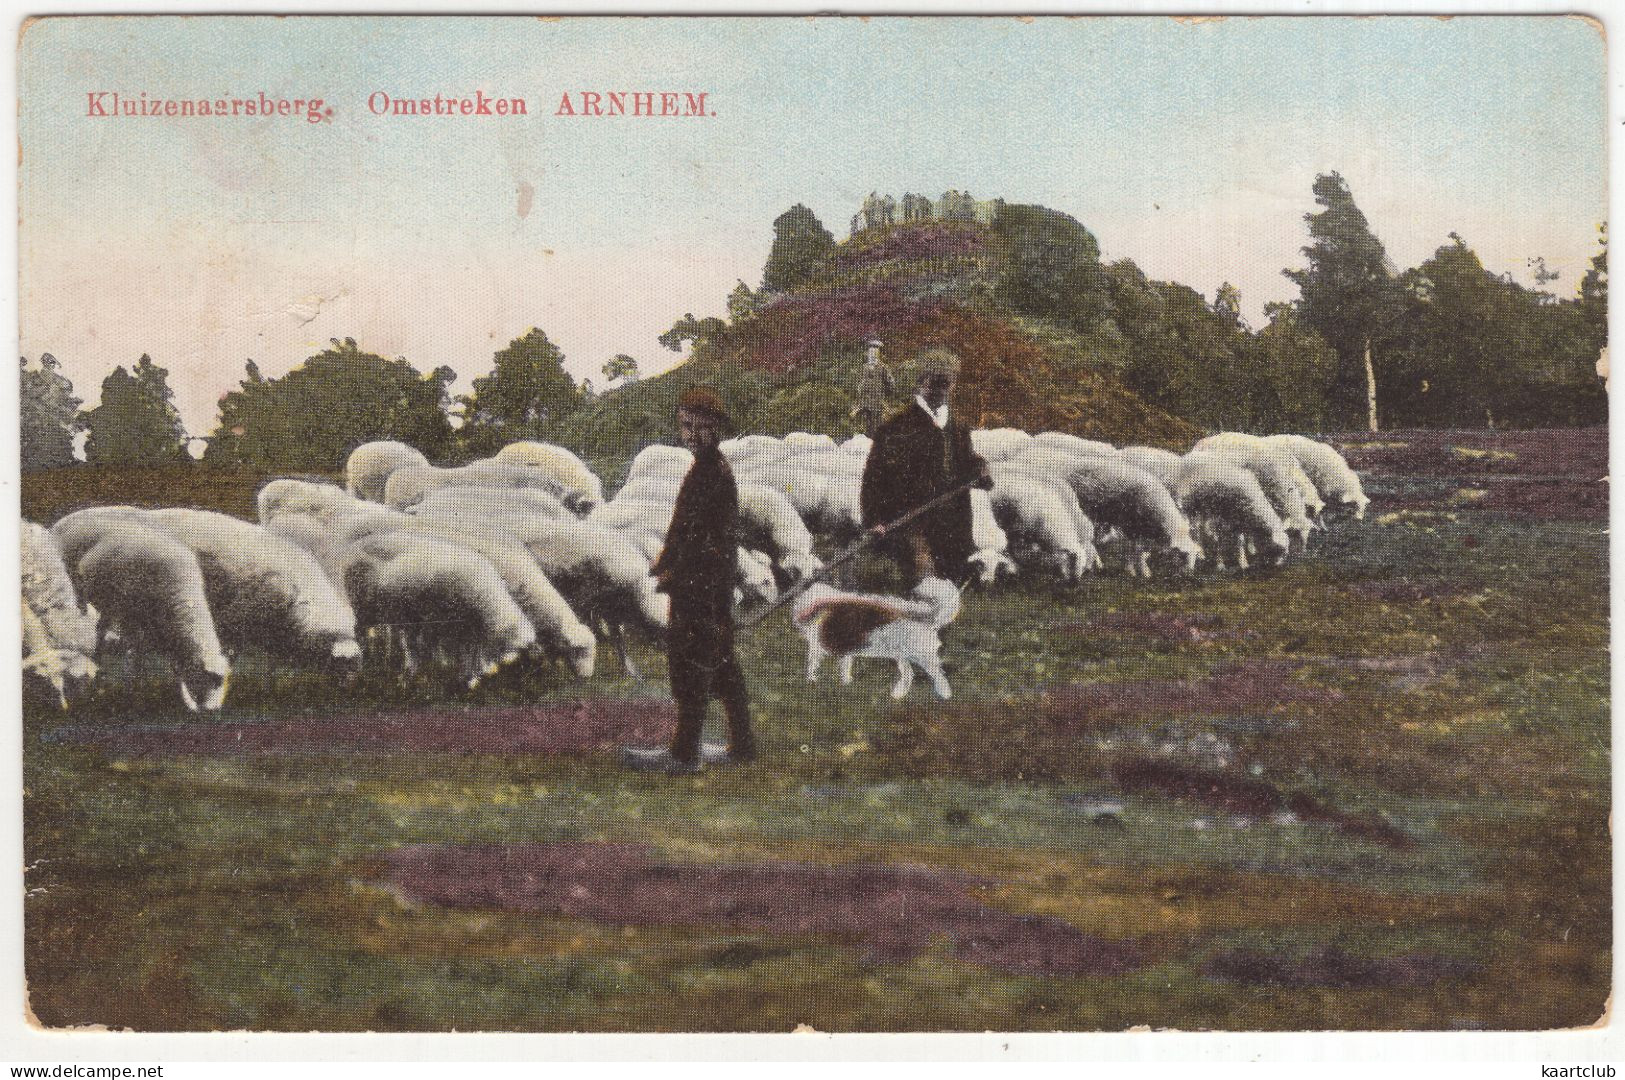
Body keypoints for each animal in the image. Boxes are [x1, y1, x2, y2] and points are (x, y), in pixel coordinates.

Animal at [52, 509, 232, 711]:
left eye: (222, 681)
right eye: (209, 679)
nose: (212, 709)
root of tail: (62, 521)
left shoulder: (153, 621)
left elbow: (152, 653)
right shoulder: (128, 613)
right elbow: (134, 647)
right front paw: (132, 685)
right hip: (77, 588)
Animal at [789, 578, 955, 695]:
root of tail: (927, 615)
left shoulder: (817, 646)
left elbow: (812, 667)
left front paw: (811, 682)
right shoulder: (846, 650)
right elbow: (845, 670)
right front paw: (846, 686)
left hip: (920, 656)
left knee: (939, 677)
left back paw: (944, 696)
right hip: (902, 655)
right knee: (909, 675)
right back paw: (897, 696)